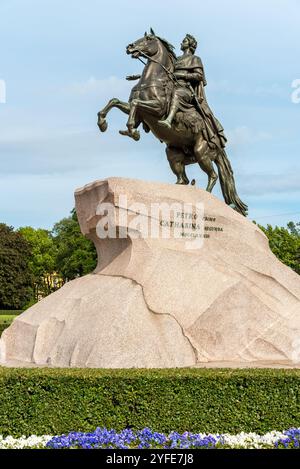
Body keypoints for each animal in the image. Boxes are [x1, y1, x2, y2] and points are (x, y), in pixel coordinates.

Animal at [97, 30, 247, 217]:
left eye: (148, 39)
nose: (129, 47)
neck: (152, 80)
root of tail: (220, 145)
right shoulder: (138, 113)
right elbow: (115, 101)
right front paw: (102, 123)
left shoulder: (157, 109)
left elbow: (135, 104)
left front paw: (132, 131)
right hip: (173, 155)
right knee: (183, 179)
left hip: (201, 152)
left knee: (213, 176)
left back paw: (206, 198)